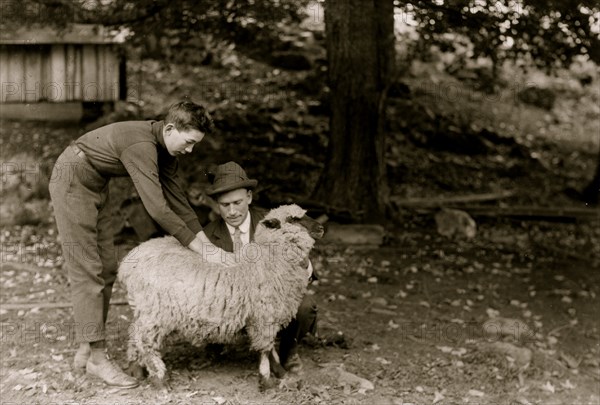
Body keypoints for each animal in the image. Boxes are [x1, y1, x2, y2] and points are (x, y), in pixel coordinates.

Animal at [117, 204, 324, 390]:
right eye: (293, 219)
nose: (321, 228)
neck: (267, 260)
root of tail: (127, 264)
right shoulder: (264, 316)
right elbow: (265, 349)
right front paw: (267, 381)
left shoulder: (266, 316)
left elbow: (270, 348)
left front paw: (280, 372)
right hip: (155, 311)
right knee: (145, 341)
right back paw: (159, 380)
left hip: (145, 310)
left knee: (134, 334)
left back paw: (136, 369)